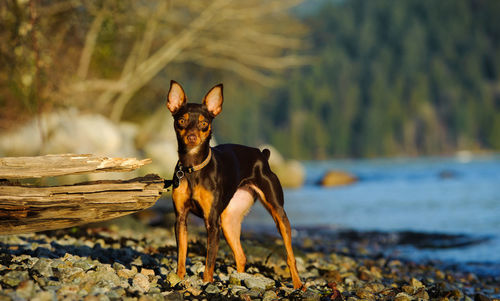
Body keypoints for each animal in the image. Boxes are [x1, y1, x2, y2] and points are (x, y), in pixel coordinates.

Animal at [166, 80, 302, 288]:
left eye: (204, 124)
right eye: (181, 121)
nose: (192, 137)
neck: (193, 168)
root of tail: (262, 155)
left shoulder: (212, 222)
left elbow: (209, 261)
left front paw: (207, 283)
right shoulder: (180, 218)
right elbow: (181, 255)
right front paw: (179, 279)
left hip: (278, 213)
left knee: (289, 255)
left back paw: (297, 284)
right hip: (229, 220)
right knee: (241, 256)